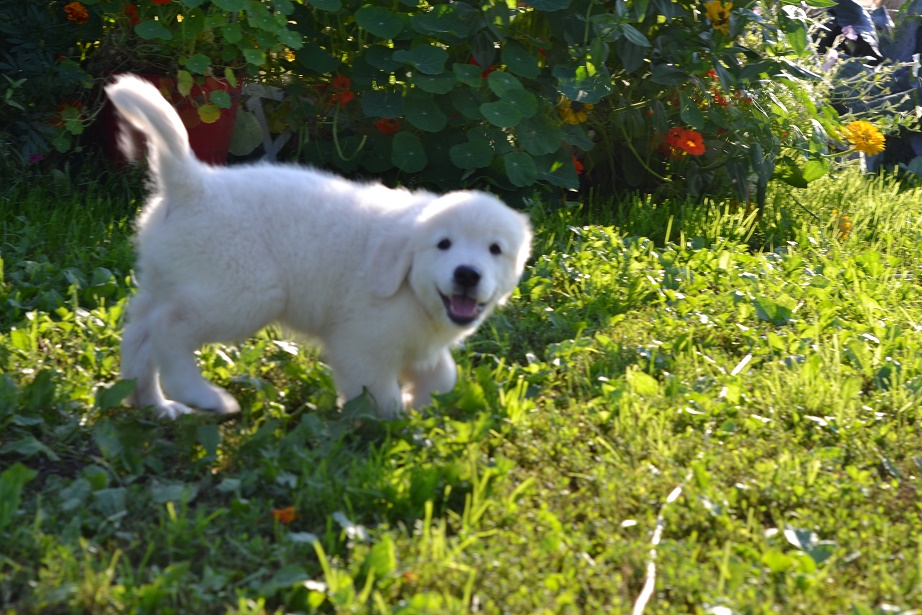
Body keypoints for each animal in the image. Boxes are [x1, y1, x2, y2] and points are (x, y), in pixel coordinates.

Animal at [106, 72, 532, 418]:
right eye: (443, 245)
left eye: (495, 250)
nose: (467, 275)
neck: (412, 286)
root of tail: (193, 184)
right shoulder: (362, 344)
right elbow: (380, 397)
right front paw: (397, 426)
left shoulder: (417, 343)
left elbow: (443, 375)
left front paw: (425, 404)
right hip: (245, 294)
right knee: (169, 328)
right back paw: (202, 396)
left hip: (167, 281)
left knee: (141, 332)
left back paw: (152, 403)